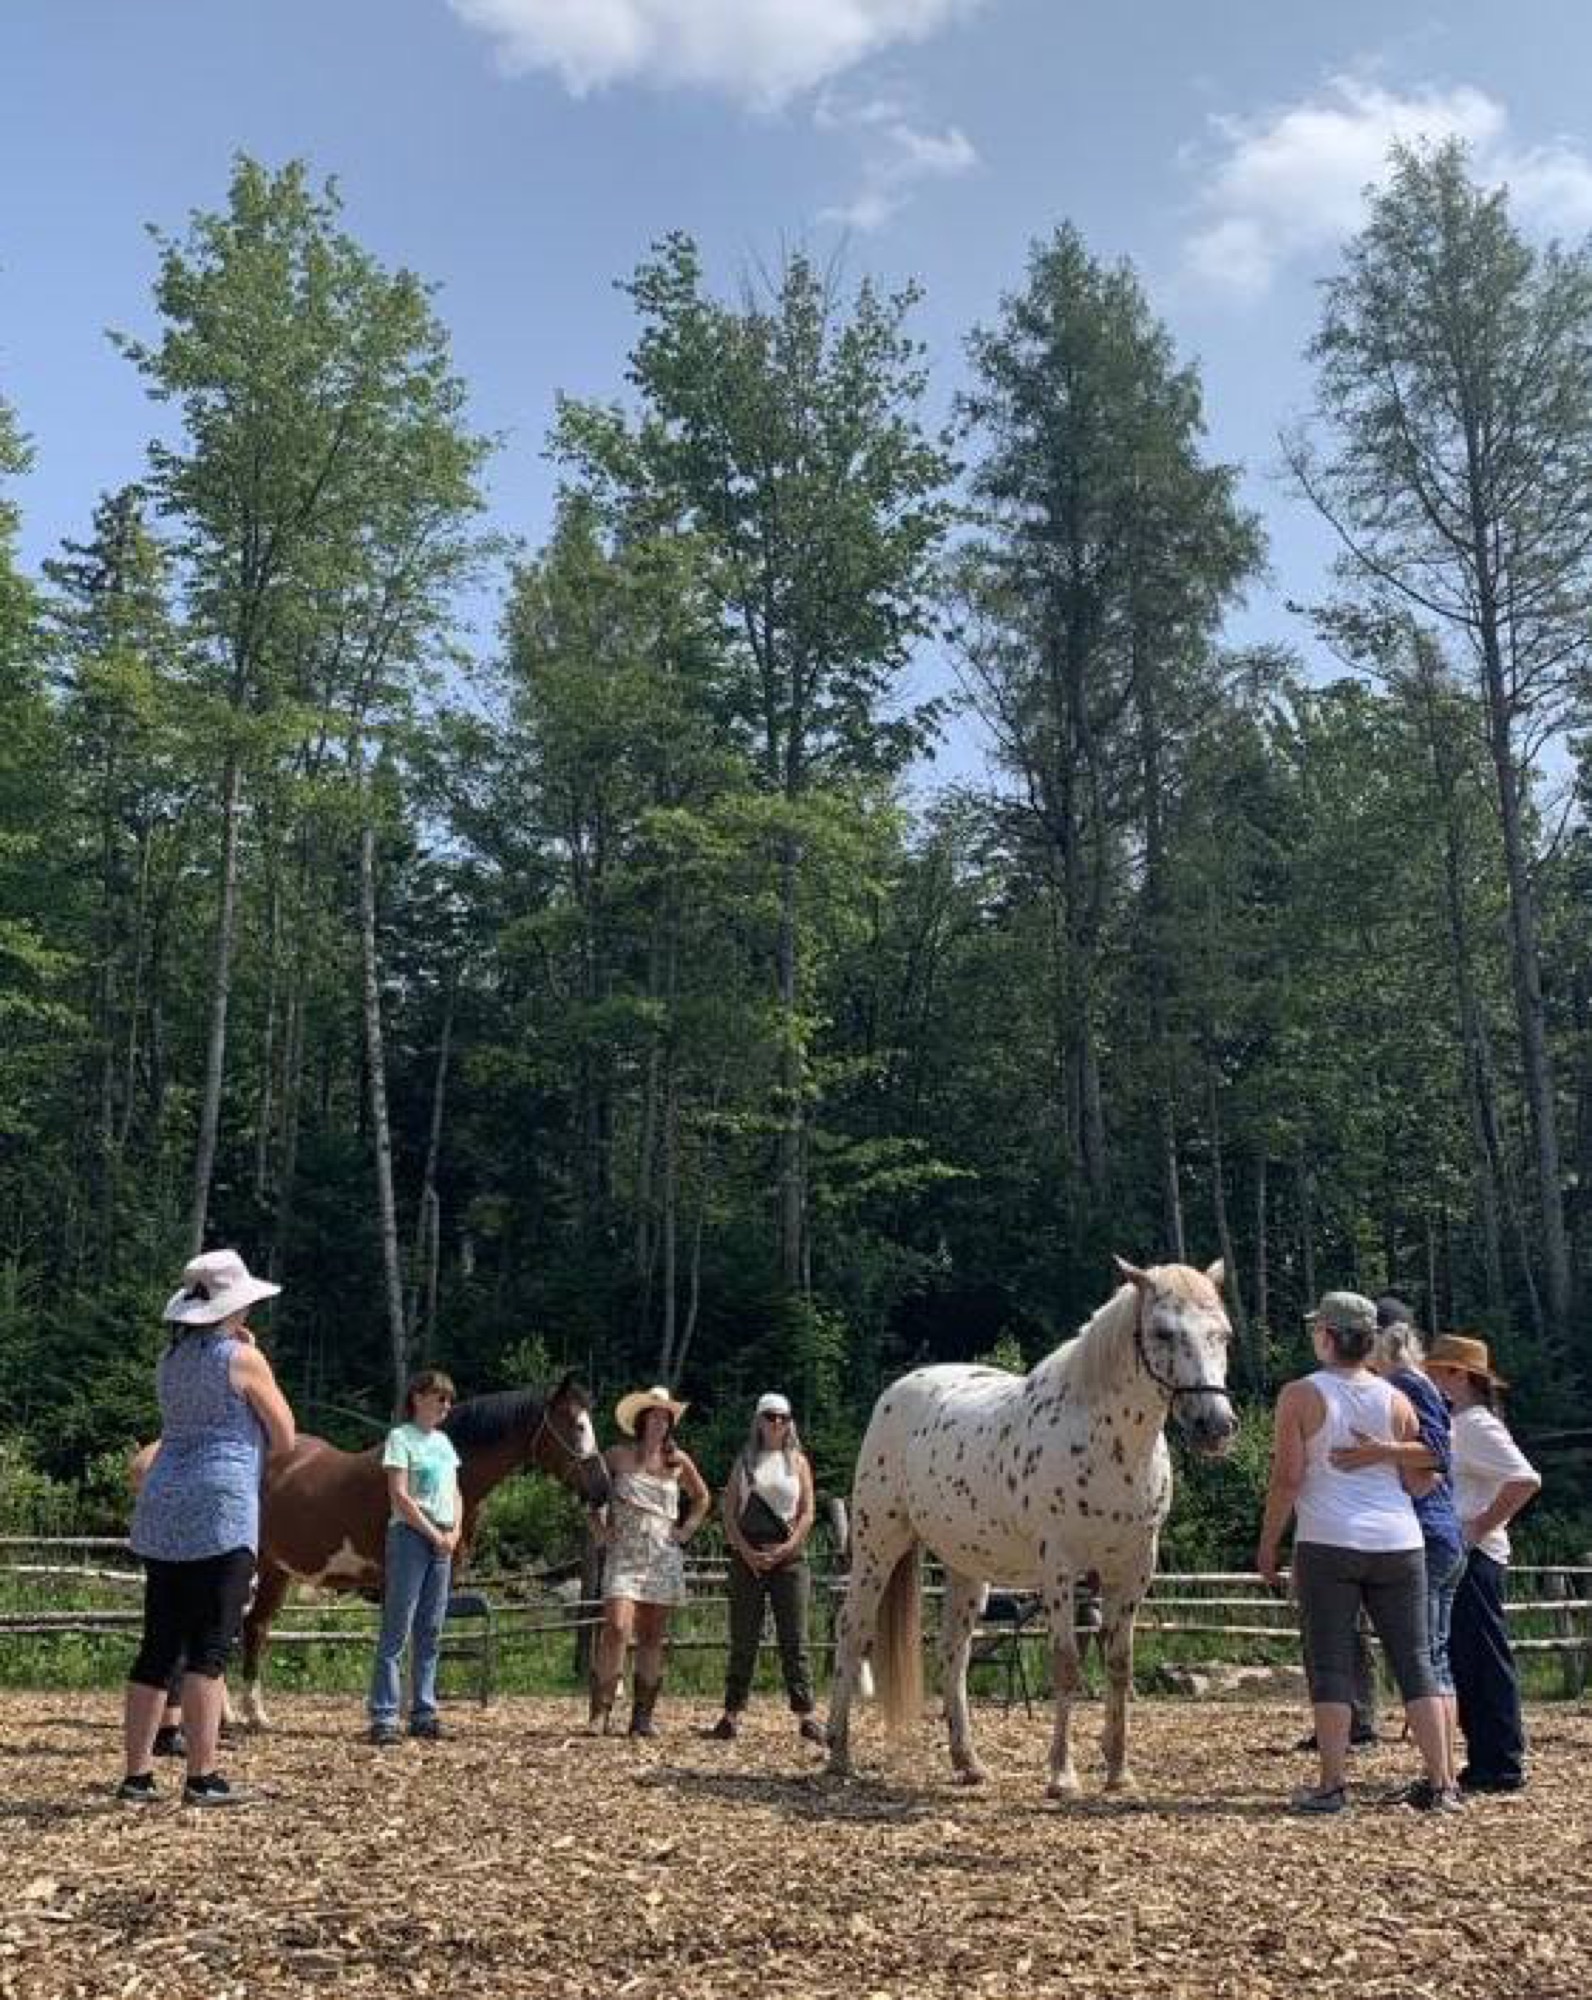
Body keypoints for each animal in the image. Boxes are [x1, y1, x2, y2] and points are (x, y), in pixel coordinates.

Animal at [238, 1371, 610, 1726]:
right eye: (578, 1425)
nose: (603, 1488)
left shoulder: (443, 1576)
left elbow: (426, 1639)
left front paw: (421, 1713)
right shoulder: (396, 1579)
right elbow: (400, 1642)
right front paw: (393, 1715)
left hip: (276, 1571)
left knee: (255, 1627)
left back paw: (255, 1715)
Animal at [825, 1259, 1237, 1797]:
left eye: (1223, 1335)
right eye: (1163, 1332)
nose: (1217, 1426)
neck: (1111, 1446)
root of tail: (898, 1393)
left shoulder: (1132, 1570)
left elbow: (1119, 1665)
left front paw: (1118, 1771)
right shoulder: (1060, 1571)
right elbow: (1065, 1665)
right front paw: (1062, 1775)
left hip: (965, 1568)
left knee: (953, 1652)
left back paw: (969, 1762)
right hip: (878, 1546)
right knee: (853, 1632)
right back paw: (838, 1754)